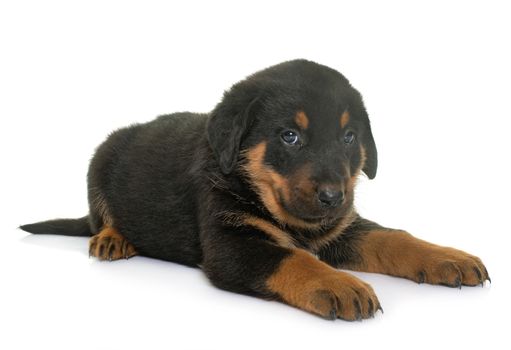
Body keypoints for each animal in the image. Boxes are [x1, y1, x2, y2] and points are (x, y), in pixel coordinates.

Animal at [22, 59, 490, 320]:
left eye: (349, 137)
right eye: (290, 137)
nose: (334, 197)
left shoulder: (341, 229)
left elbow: (392, 237)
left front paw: (447, 257)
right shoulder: (233, 244)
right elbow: (292, 258)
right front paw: (340, 284)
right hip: (100, 160)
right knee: (100, 216)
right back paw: (113, 238)